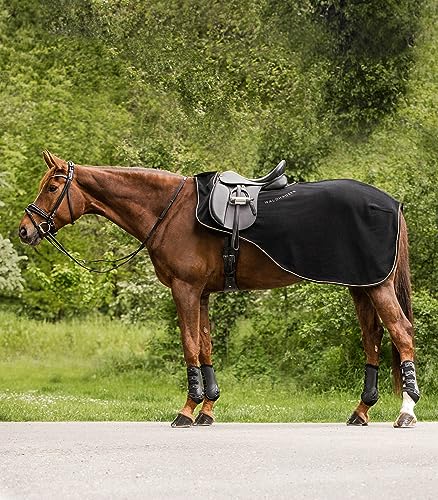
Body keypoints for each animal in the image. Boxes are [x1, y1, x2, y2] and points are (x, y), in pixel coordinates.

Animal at [18, 151, 420, 426]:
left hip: (378, 287)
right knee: (373, 339)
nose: (25, 230)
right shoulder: (203, 294)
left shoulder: (185, 290)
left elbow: (189, 345)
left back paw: (406, 411)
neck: (170, 212)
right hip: (362, 287)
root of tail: (392, 202)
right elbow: (206, 344)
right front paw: (208, 408)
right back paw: (362, 410)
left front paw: (187, 409)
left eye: (51, 187)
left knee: (401, 333)